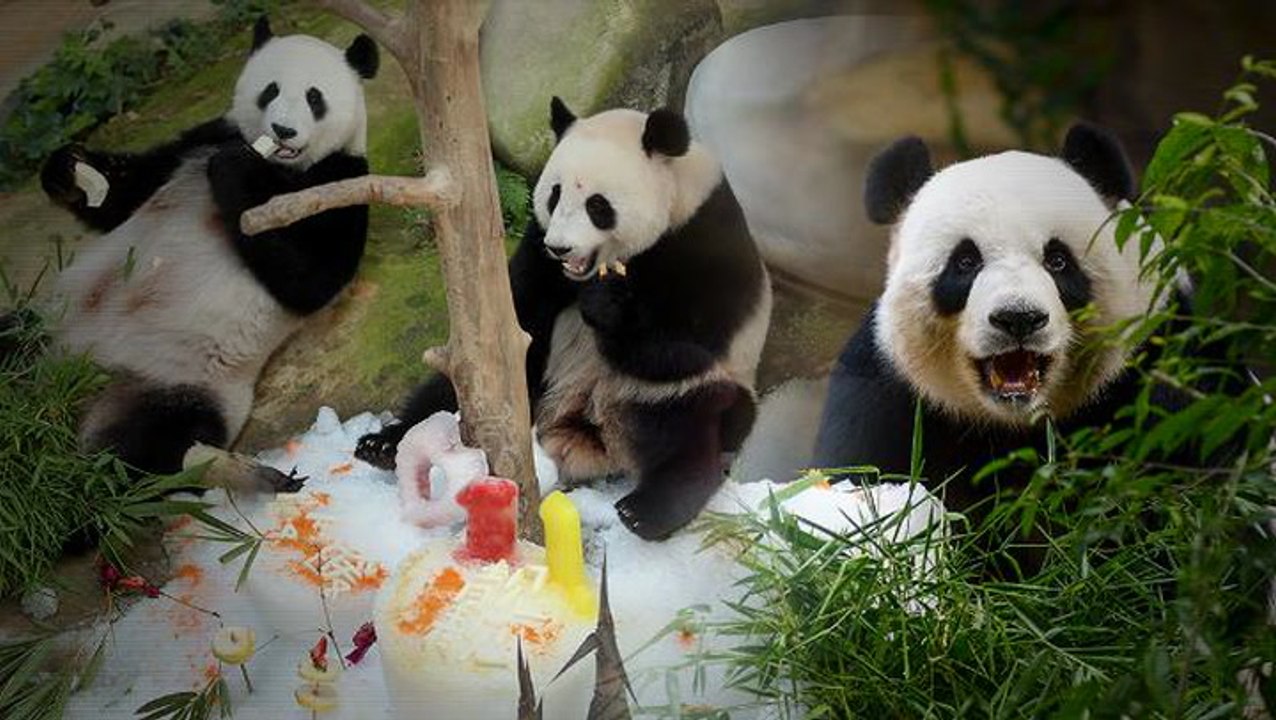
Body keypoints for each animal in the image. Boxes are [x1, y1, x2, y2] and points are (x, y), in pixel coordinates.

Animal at [37, 18, 379, 482]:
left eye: (314, 97)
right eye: (270, 90)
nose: (283, 131)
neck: (281, 165)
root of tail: (85, 375)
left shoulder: (341, 180)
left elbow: (309, 279)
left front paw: (234, 169)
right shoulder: (203, 140)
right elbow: (124, 195)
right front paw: (69, 170)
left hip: (178, 380)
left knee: (136, 450)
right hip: (51, 321)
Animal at [357, 98, 773, 540]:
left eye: (598, 205)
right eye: (554, 196)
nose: (560, 248)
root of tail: (586, 434)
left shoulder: (705, 240)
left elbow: (686, 343)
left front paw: (607, 304)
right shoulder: (538, 248)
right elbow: (520, 310)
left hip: (687, 391)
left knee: (695, 430)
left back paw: (646, 510)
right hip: (538, 373)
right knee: (449, 391)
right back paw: (384, 444)